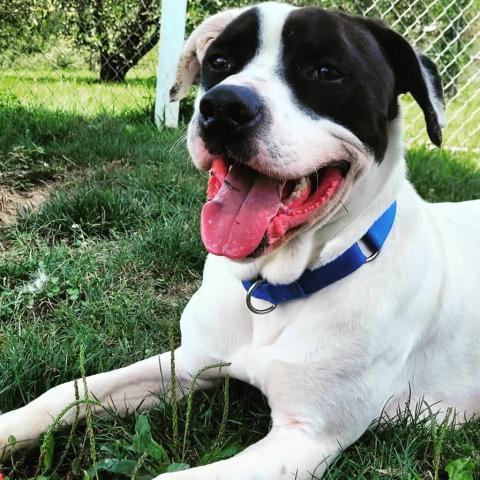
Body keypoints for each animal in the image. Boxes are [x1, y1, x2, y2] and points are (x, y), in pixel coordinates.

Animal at [0, 1, 480, 478]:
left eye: (326, 70)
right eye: (220, 62)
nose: (224, 106)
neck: (274, 290)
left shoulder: (306, 437)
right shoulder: (186, 364)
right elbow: (67, 392)